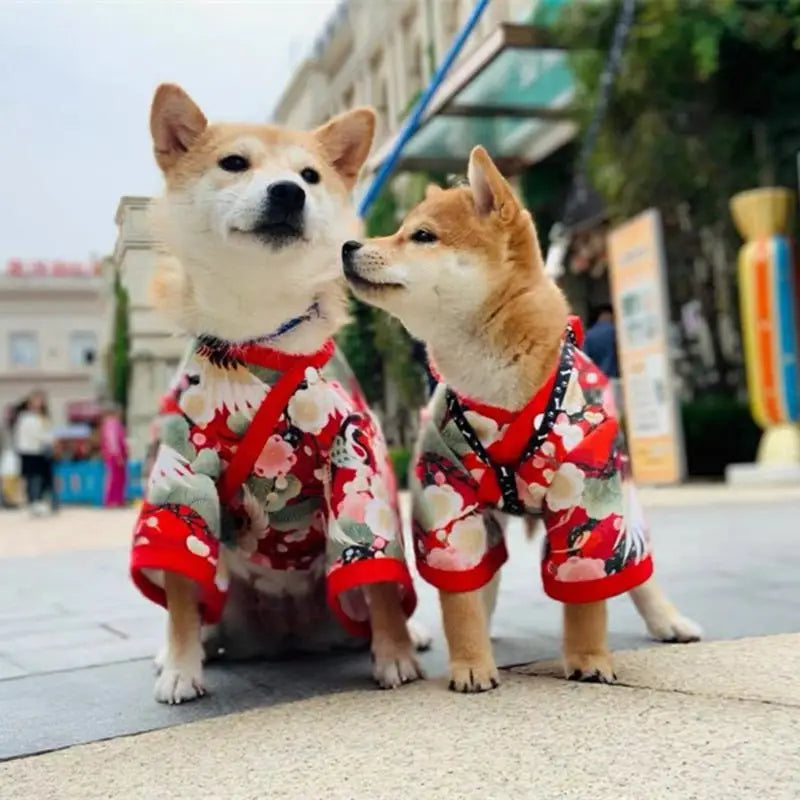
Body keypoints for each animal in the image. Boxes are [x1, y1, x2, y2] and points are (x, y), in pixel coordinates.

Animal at [134, 84, 428, 704]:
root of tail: (288, 633)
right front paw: (180, 667)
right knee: (195, 609)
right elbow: (179, 582)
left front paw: (395, 654)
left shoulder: (355, 453)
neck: (260, 328)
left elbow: (380, 574)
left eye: (310, 175)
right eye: (234, 163)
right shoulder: (182, 464)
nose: (289, 191)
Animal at [342, 147, 700, 692]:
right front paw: (471, 663)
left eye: (421, 236)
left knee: (639, 568)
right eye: (400, 229)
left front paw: (589, 657)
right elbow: (460, 598)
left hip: (624, 493)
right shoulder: (445, 495)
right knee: (484, 578)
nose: (346, 245)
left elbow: (586, 595)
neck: (494, 384)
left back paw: (669, 620)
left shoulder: (588, 493)